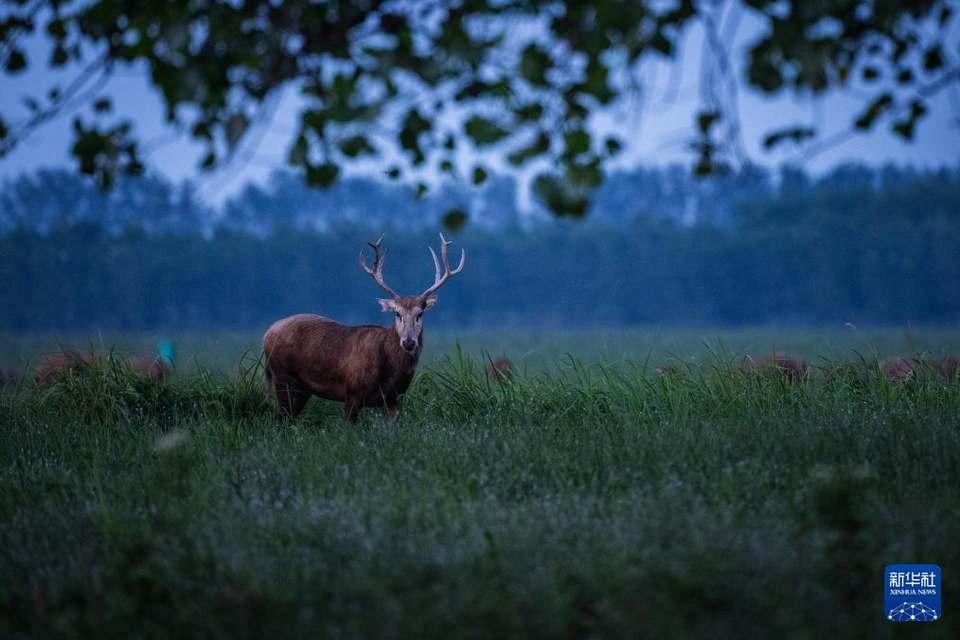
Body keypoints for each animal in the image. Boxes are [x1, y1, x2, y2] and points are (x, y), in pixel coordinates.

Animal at [262, 232, 464, 422]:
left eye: (420, 314)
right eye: (397, 313)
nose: (408, 342)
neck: (389, 371)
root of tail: (267, 333)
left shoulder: (394, 399)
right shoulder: (352, 392)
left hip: (301, 388)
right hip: (283, 377)